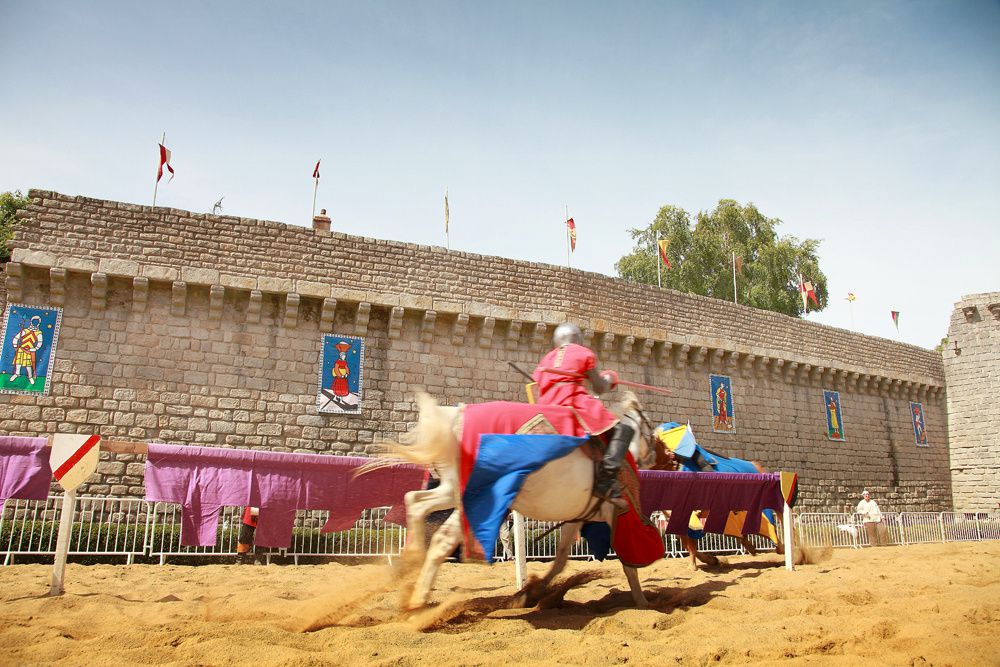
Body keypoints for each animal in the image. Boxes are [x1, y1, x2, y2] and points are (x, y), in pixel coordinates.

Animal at [384, 392, 656, 616]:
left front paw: (531, 594)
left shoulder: (577, 517)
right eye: (651, 429)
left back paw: (411, 562)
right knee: (442, 539)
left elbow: (560, 558)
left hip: (452, 490)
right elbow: (629, 563)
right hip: (477, 499)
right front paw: (643, 602)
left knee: (415, 501)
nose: (656, 456)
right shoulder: (620, 516)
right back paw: (417, 602)